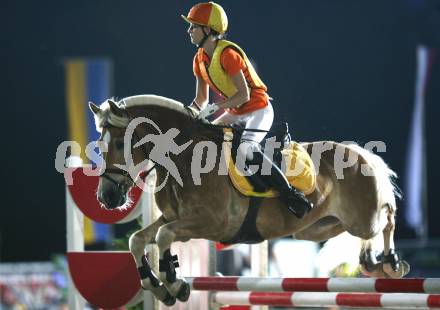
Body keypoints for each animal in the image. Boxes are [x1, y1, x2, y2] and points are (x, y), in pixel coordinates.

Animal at [88, 94, 410, 306]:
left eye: (121, 143)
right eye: (100, 144)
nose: (107, 198)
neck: (184, 156)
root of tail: (361, 153)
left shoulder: (211, 223)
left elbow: (164, 236)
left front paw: (175, 283)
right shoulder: (174, 218)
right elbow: (139, 240)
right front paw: (157, 285)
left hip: (363, 218)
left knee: (387, 216)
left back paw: (391, 263)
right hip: (315, 229)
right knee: (355, 232)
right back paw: (370, 262)